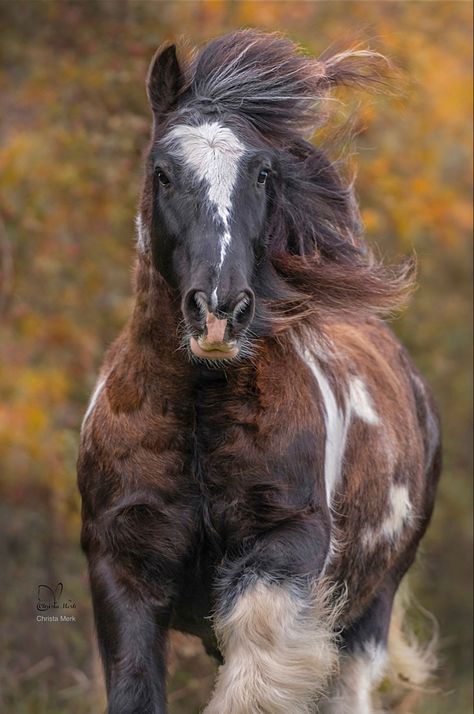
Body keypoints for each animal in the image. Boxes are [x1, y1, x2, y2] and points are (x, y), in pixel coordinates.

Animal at [78, 29, 440, 712]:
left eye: (263, 172)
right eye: (162, 171)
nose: (219, 312)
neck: (196, 409)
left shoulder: (282, 552)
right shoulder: (122, 566)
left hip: (367, 611)